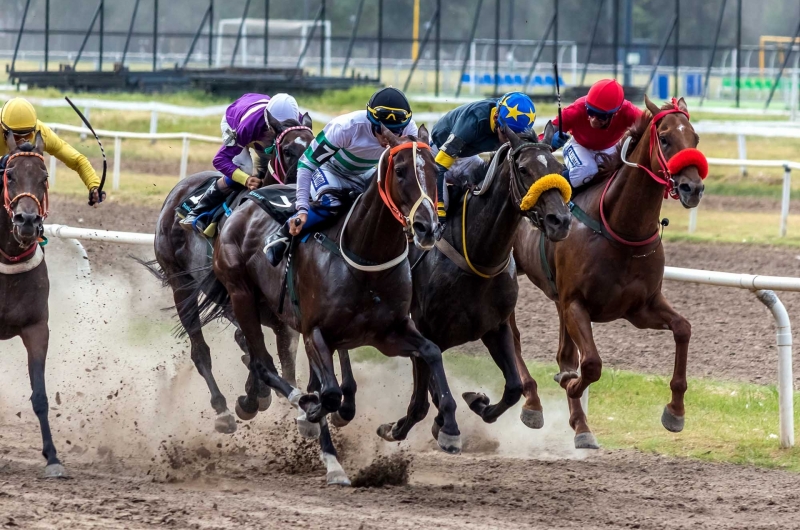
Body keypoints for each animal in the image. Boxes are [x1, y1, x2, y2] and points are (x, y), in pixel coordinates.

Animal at [374, 120, 568, 442]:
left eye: (560, 168)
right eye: (524, 169)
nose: (560, 220)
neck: (478, 258)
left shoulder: (495, 327)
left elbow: (513, 388)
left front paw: (477, 402)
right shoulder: (424, 330)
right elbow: (420, 401)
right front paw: (399, 427)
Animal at [512, 95, 708, 446]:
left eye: (695, 138)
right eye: (665, 138)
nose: (692, 188)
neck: (621, 229)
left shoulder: (640, 307)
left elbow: (683, 328)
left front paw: (675, 411)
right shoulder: (576, 303)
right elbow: (591, 364)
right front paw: (571, 388)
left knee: (563, 351)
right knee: (514, 337)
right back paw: (534, 402)